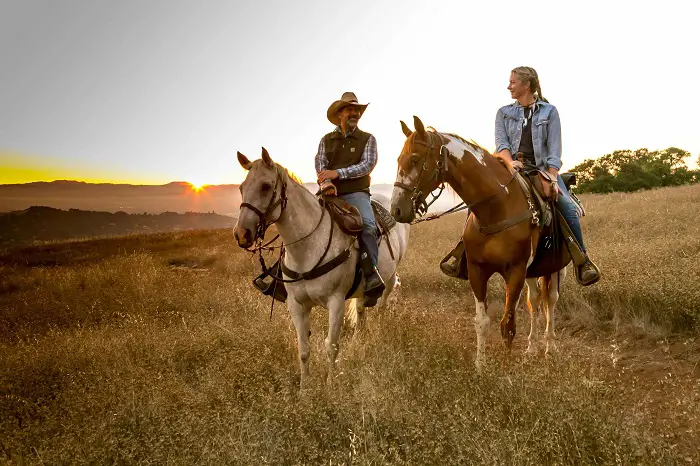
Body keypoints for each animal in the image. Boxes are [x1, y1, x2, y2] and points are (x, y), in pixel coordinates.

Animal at [234, 148, 410, 388]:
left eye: (265, 186)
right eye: (241, 187)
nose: (241, 234)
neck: (307, 248)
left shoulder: (335, 302)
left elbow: (331, 346)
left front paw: (330, 386)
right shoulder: (296, 305)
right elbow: (303, 349)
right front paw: (305, 388)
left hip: (390, 276)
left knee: (383, 301)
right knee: (361, 309)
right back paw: (359, 339)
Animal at [391, 116, 568, 367]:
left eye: (415, 159)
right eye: (399, 159)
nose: (396, 209)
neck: (496, 208)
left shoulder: (515, 272)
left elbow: (508, 325)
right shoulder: (477, 271)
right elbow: (482, 322)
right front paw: (480, 367)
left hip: (554, 268)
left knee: (551, 300)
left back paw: (550, 347)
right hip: (533, 271)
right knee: (535, 300)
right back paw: (532, 347)